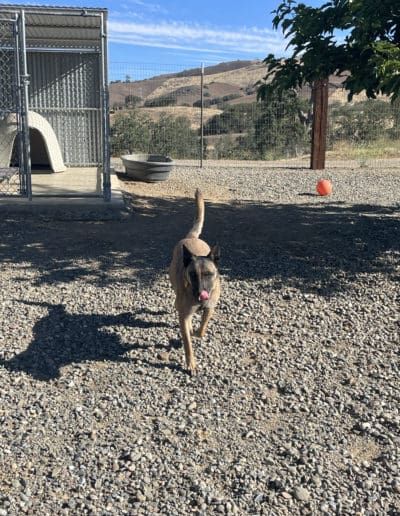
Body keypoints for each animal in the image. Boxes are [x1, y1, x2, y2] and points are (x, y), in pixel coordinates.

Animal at [168, 187, 220, 372]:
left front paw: (197, 332)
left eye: (208, 274)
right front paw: (190, 363)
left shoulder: (210, 307)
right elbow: (188, 343)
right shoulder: (184, 316)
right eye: (192, 274)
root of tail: (192, 238)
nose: (201, 293)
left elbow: (202, 329)